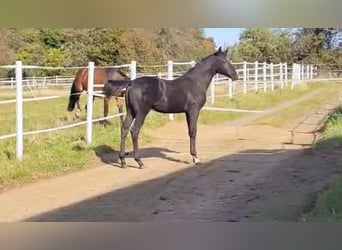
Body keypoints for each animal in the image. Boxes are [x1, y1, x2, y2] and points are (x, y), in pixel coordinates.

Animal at [105, 47, 239, 168]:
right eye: (224, 61)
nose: (235, 76)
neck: (196, 83)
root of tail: (131, 83)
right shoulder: (193, 110)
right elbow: (193, 131)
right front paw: (195, 158)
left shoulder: (187, 112)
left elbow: (190, 131)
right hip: (141, 113)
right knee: (134, 130)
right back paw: (139, 162)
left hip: (131, 112)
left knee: (124, 129)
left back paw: (123, 161)